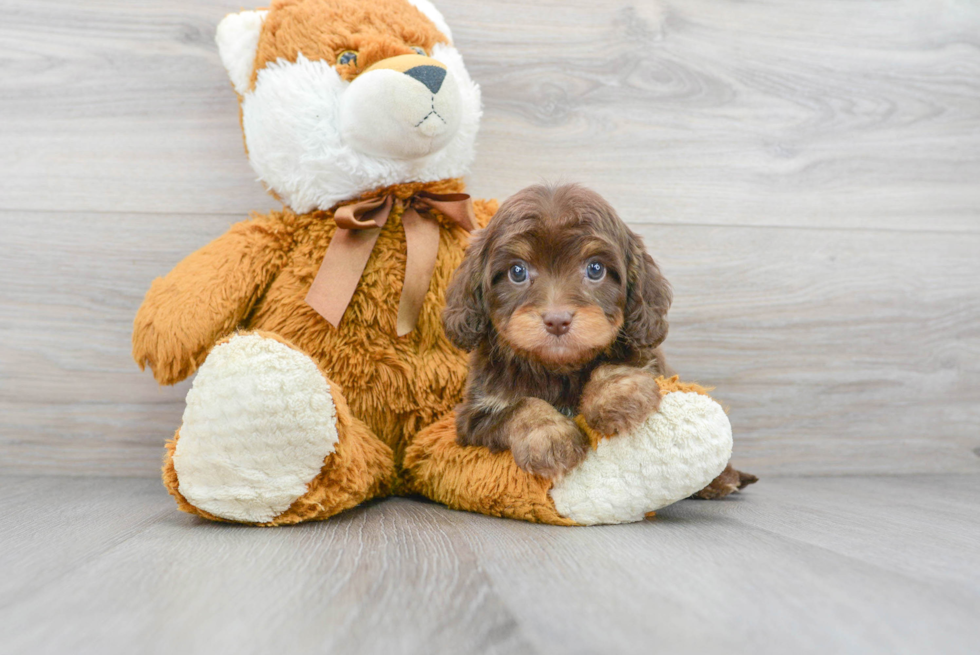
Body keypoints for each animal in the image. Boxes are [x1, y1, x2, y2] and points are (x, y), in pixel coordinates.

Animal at [444, 184, 756, 498]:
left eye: (595, 269)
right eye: (517, 271)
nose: (557, 320)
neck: (558, 369)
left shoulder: (648, 359)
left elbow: (614, 363)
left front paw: (617, 394)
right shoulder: (474, 415)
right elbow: (519, 408)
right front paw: (549, 437)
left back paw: (721, 480)